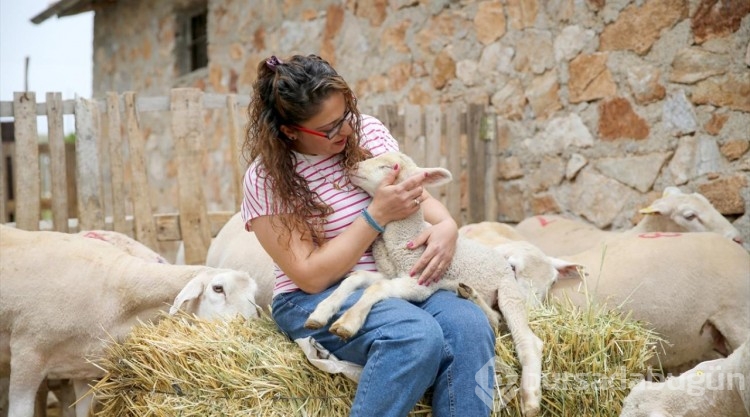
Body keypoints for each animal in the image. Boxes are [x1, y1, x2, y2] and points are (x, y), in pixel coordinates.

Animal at [302, 152, 572, 416]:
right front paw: (321, 312)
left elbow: (376, 289)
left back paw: (530, 400)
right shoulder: (392, 273)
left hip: (509, 293)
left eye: (390, 166)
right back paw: (469, 293)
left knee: (528, 341)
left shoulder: (420, 281)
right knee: (495, 319)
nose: (353, 167)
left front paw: (347, 322)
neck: (404, 238)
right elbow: (357, 278)